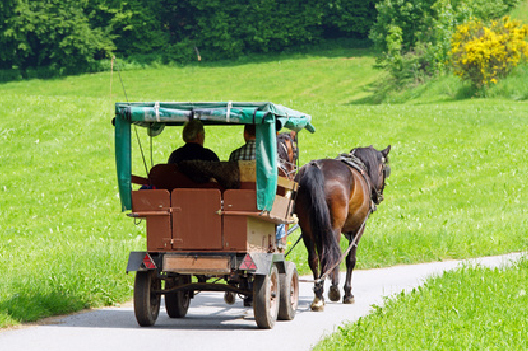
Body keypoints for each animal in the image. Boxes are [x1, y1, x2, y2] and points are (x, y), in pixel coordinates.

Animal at [292, 145, 392, 310]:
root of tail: (317, 167)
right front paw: (347, 293)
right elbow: (350, 260)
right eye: (385, 170)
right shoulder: (358, 229)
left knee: (314, 258)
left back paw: (318, 295)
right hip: (334, 229)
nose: (379, 196)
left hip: (307, 229)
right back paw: (331, 291)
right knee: (333, 256)